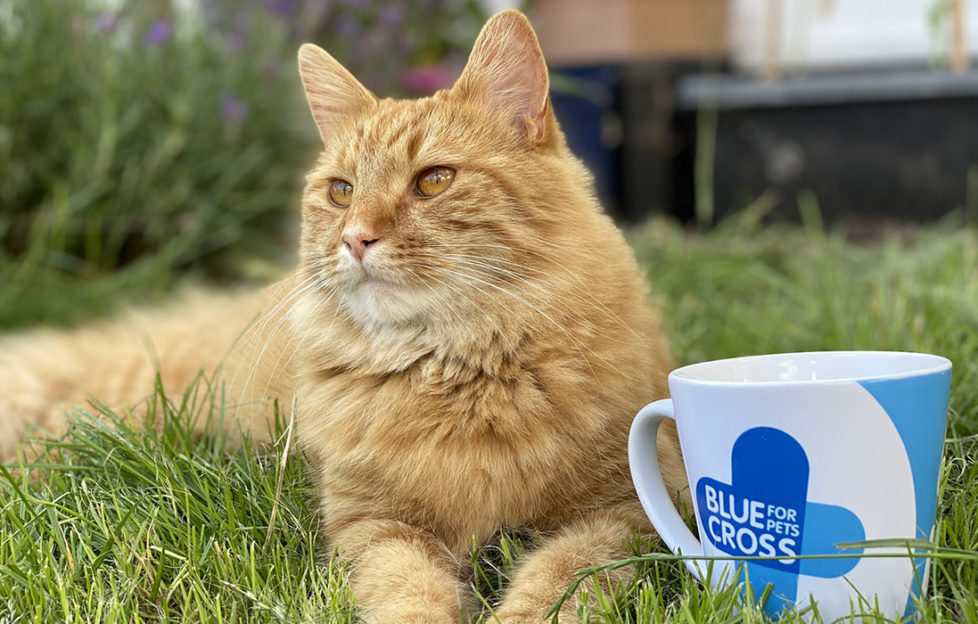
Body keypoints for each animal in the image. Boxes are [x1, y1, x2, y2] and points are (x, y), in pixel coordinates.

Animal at [0, 11, 688, 624]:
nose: (356, 239)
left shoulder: (621, 512)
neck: (457, 375)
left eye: (433, 180)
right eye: (341, 192)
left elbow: (557, 582)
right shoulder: (376, 525)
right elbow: (410, 594)